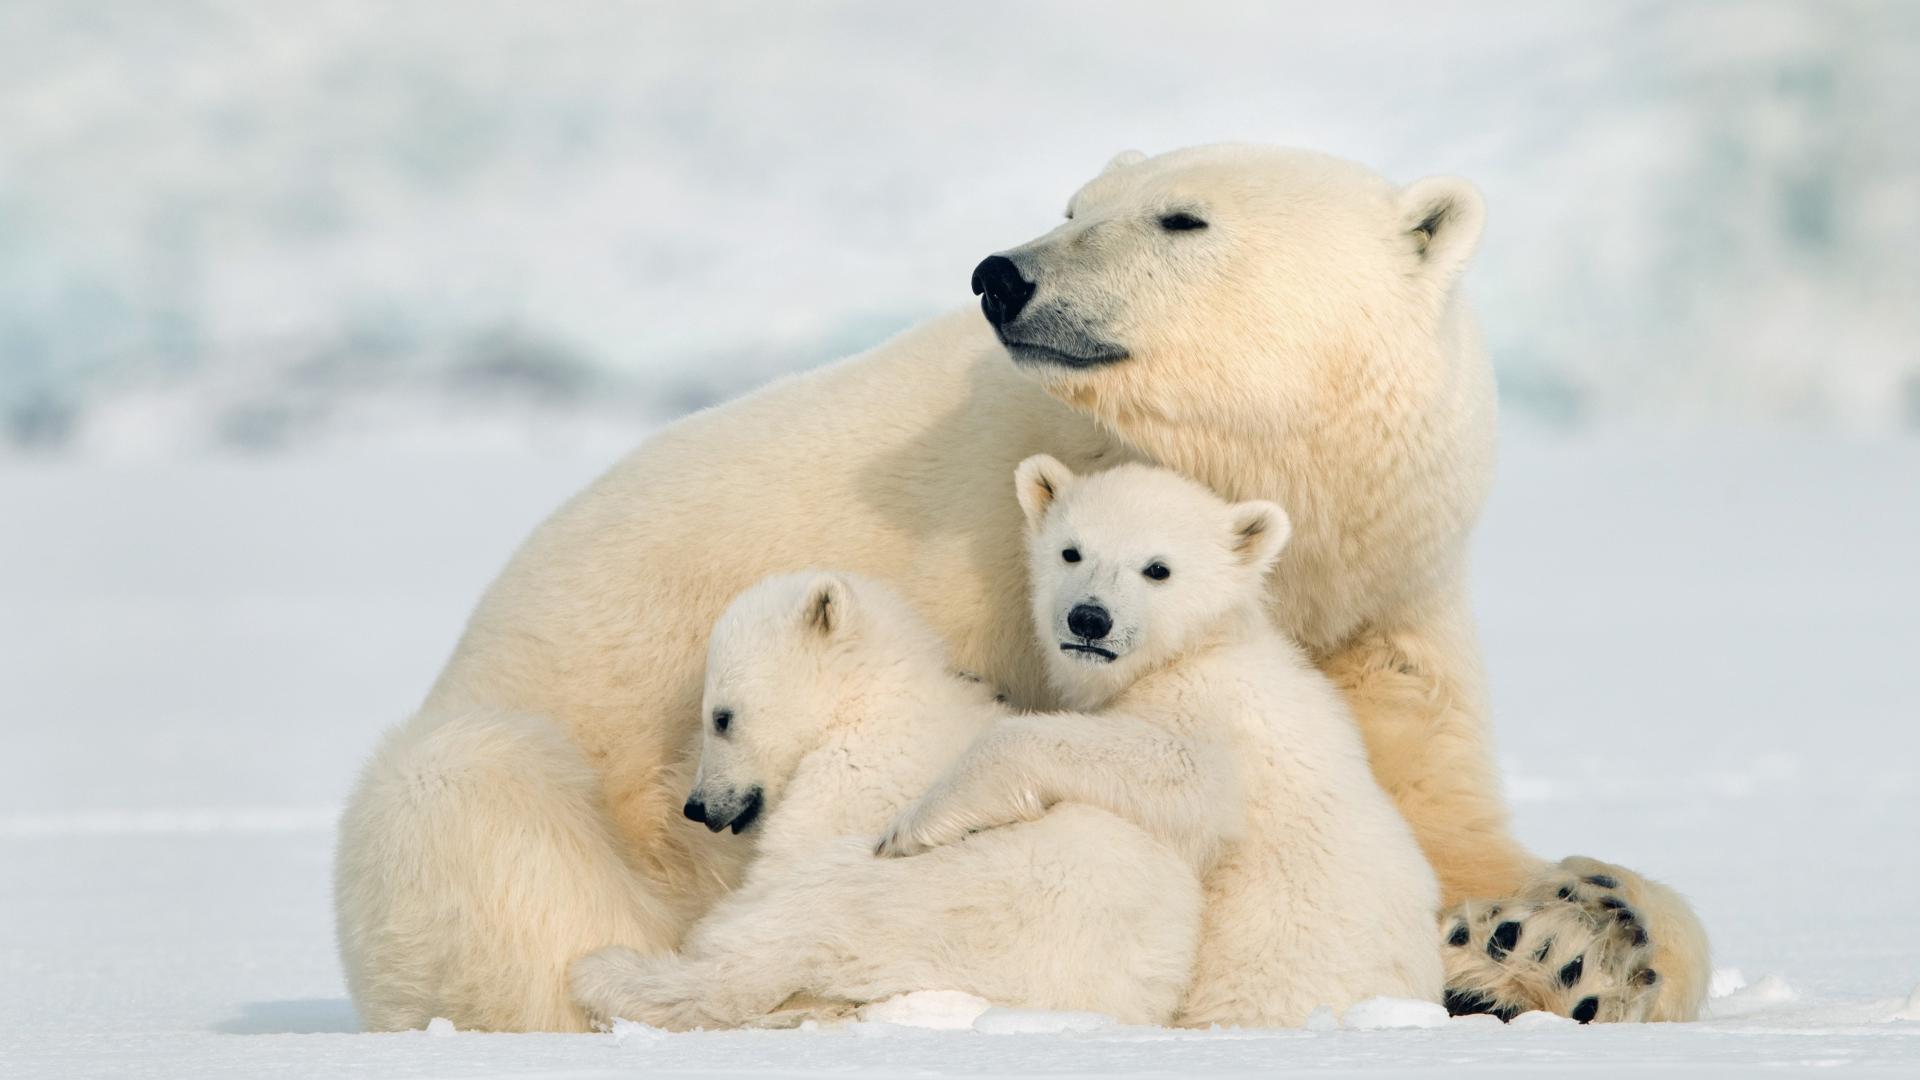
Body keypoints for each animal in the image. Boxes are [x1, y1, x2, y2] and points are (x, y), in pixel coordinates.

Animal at [560, 564, 1205, 1022]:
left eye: (721, 716)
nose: (695, 808)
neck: (872, 697)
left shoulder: (856, 778)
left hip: (928, 898)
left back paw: (603, 972)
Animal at [871, 455, 1443, 1022]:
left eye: (1157, 569)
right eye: (1071, 551)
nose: (1089, 619)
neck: (1194, 648)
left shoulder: (1211, 713)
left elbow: (1185, 776)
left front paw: (910, 828)